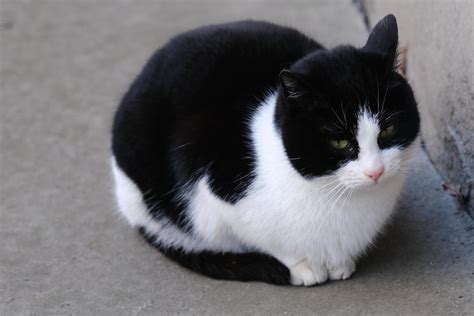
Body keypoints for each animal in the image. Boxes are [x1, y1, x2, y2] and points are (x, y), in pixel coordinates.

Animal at [112, 14, 422, 286]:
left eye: (387, 130)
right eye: (340, 143)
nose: (376, 171)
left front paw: (339, 263)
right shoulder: (213, 188)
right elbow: (267, 240)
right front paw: (303, 266)